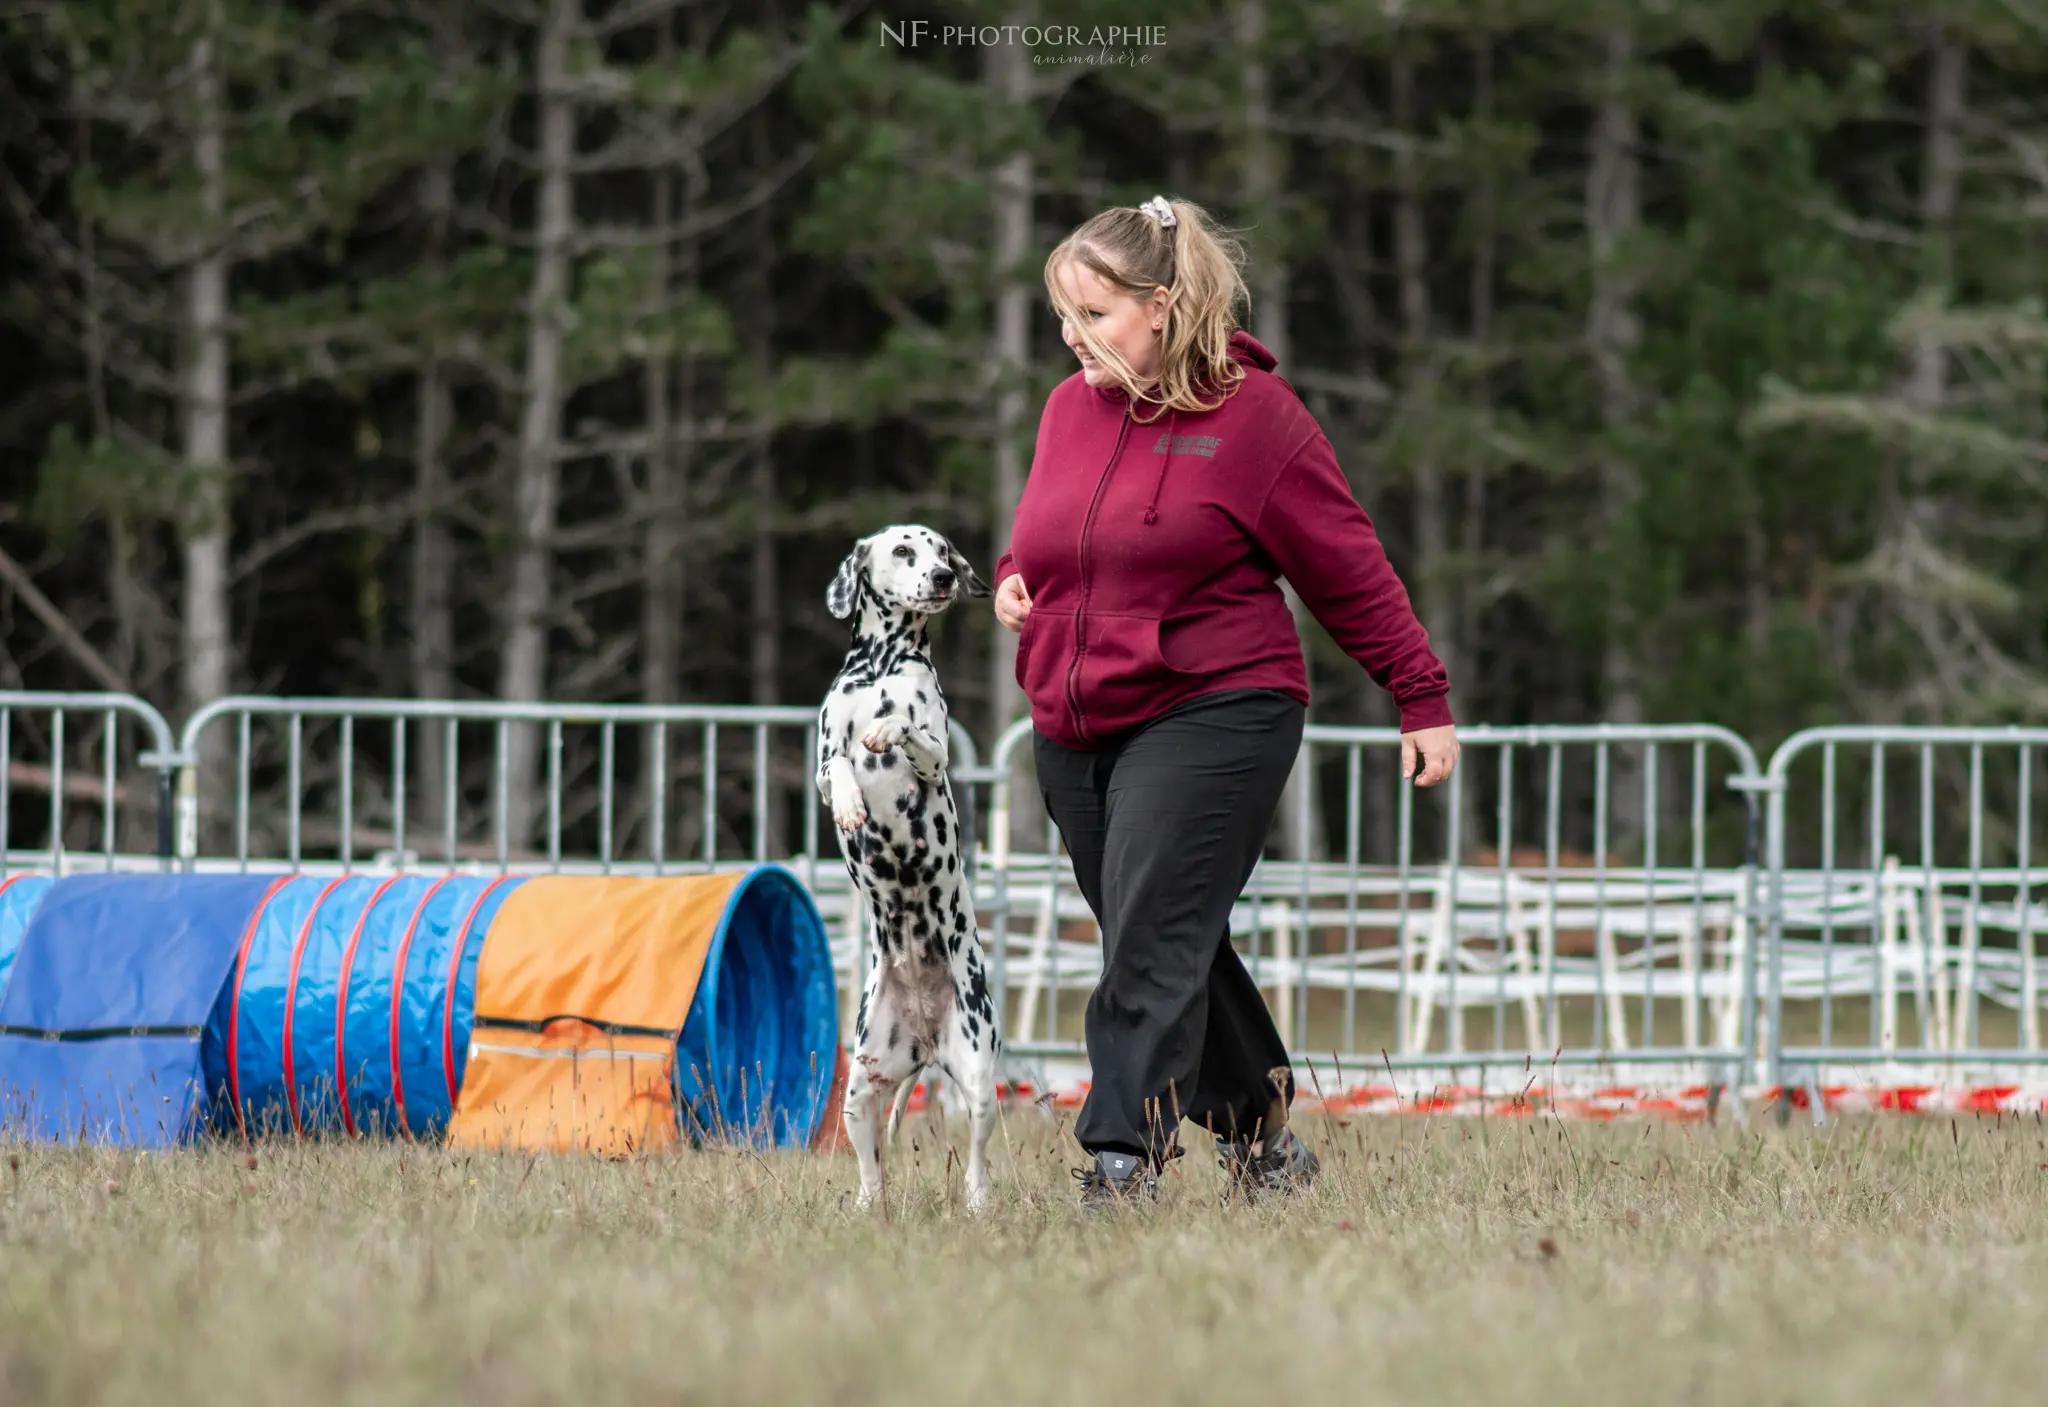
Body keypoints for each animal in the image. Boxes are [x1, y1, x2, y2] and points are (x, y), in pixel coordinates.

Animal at [819, 522, 1003, 1212]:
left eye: (944, 551)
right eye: (904, 551)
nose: (945, 577)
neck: (882, 669)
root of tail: (925, 1042)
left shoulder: (937, 756)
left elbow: (906, 729)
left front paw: (885, 730)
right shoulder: (822, 764)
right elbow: (839, 766)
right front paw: (852, 803)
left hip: (977, 1080)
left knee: (977, 1164)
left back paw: (978, 1207)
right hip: (860, 1090)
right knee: (871, 1170)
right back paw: (867, 1210)